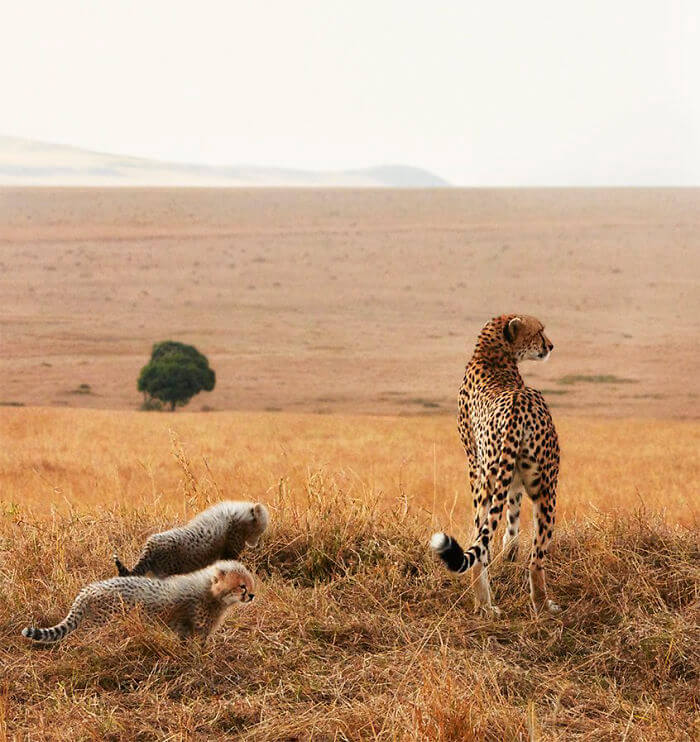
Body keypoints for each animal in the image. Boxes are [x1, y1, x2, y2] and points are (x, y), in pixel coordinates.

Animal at [430, 314, 560, 616]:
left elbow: (505, 523)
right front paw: (510, 551)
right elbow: (514, 513)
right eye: (539, 331)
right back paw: (542, 605)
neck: (491, 355)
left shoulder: (486, 472)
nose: (550, 346)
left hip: (487, 482)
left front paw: (508, 552)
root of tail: (518, 405)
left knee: (480, 544)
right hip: (547, 487)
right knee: (536, 558)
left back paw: (484, 605)